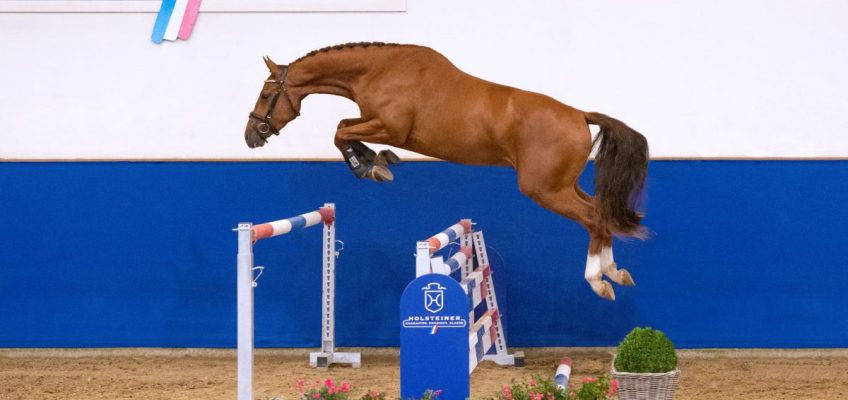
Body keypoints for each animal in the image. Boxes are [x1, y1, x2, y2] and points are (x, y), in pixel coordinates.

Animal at [245, 43, 648, 300]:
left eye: (265, 96)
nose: (251, 135)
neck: (379, 70)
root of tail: (579, 115)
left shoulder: (390, 127)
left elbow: (340, 131)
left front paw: (370, 166)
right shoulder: (374, 122)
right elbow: (345, 126)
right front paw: (379, 161)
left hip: (545, 190)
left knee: (593, 219)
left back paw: (598, 280)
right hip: (562, 186)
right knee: (600, 214)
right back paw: (616, 272)